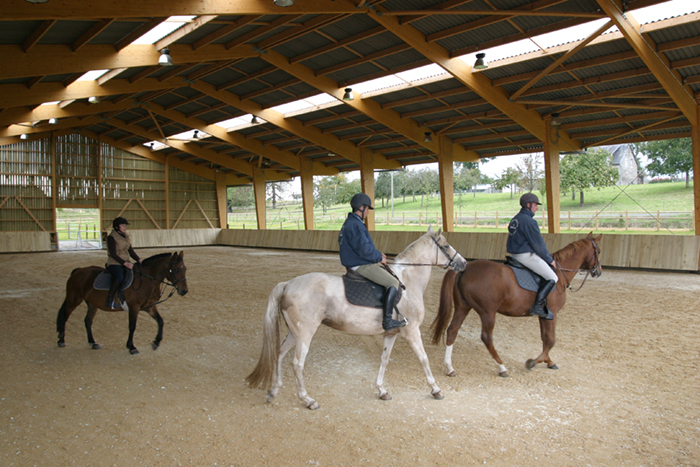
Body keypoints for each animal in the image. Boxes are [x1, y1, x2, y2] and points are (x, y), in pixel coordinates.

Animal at [56, 252, 189, 354]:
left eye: (185, 269)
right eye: (176, 269)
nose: (184, 291)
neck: (147, 280)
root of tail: (78, 271)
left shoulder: (149, 307)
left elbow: (160, 321)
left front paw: (156, 342)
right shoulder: (134, 307)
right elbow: (132, 326)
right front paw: (131, 347)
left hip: (92, 304)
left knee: (87, 321)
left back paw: (93, 343)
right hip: (73, 300)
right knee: (65, 315)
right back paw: (61, 340)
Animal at [245, 227, 464, 410]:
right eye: (445, 245)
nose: (462, 263)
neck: (408, 281)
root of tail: (288, 284)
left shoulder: (391, 333)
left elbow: (384, 359)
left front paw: (382, 390)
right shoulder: (411, 331)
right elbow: (423, 358)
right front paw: (436, 389)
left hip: (294, 332)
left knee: (279, 353)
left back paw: (273, 391)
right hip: (305, 332)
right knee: (297, 363)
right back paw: (308, 400)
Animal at [430, 232, 600, 378]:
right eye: (598, 250)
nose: (598, 271)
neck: (559, 273)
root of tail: (465, 269)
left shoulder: (543, 315)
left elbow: (545, 338)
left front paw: (549, 361)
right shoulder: (553, 313)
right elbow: (551, 339)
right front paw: (533, 362)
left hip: (463, 307)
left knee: (452, 330)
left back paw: (450, 368)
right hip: (487, 312)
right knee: (486, 337)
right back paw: (502, 367)